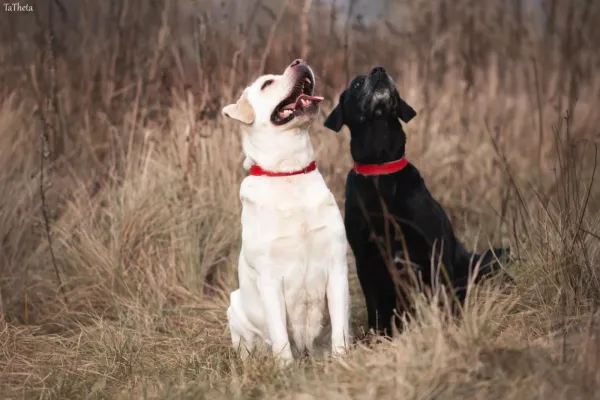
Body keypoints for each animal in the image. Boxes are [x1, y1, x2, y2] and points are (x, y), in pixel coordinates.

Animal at [223, 58, 350, 366]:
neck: (289, 171)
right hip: (234, 305)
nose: (300, 62)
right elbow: (280, 337)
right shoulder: (269, 280)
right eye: (267, 83)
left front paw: (342, 361)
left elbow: (341, 328)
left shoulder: (337, 267)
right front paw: (285, 369)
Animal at [324, 67, 510, 336]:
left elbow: (442, 295)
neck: (381, 167)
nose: (379, 70)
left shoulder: (433, 249)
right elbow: (375, 307)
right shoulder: (365, 257)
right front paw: (379, 337)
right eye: (357, 83)